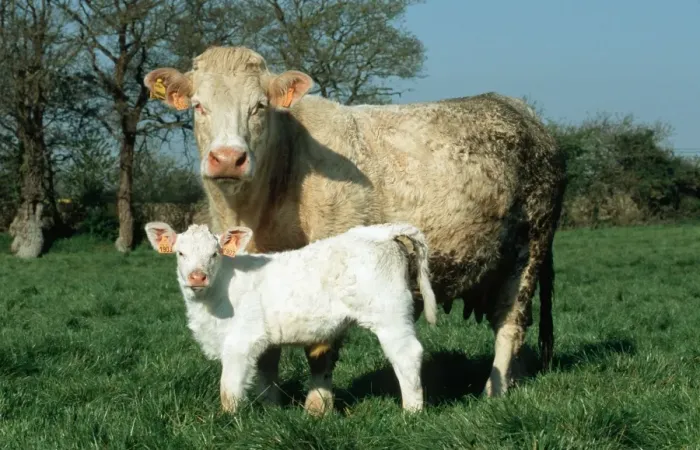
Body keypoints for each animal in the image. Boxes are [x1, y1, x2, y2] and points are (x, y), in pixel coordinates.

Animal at [144, 46, 567, 416]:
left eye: (259, 106)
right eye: (198, 106)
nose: (228, 158)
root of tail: (519, 109)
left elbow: (320, 347)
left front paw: (317, 407)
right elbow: (266, 353)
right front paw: (271, 405)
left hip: (530, 248)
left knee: (509, 325)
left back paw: (493, 392)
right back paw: (512, 383)